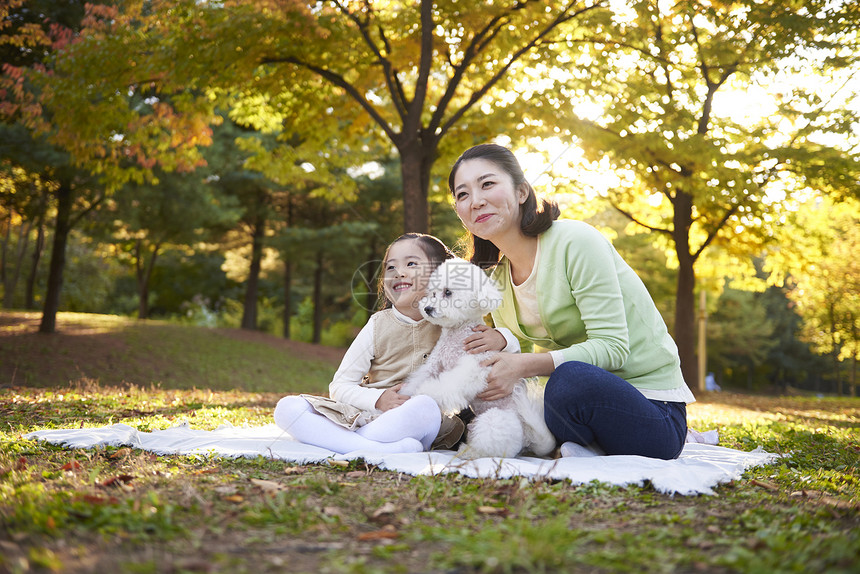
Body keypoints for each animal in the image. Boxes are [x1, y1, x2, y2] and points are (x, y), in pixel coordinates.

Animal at [404, 258, 556, 462]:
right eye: (433, 293)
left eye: (448, 292)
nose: (427, 308)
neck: (457, 333)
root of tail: (527, 437)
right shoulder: (434, 365)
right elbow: (418, 379)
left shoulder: (472, 368)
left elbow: (445, 386)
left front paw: (424, 393)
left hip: (494, 420)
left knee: (488, 447)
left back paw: (468, 452)